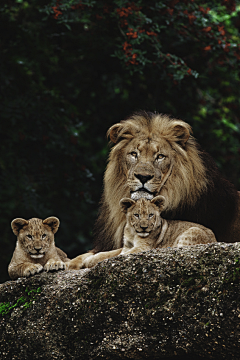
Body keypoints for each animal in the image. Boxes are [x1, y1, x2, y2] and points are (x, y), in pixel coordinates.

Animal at [81, 195, 217, 268]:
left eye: (151, 215)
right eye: (136, 215)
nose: (144, 227)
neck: (132, 233)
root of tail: (215, 239)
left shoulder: (143, 247)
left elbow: (117, 256)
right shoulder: (126, 247)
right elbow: (107, 254)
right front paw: (89, 260)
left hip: (193, 230)